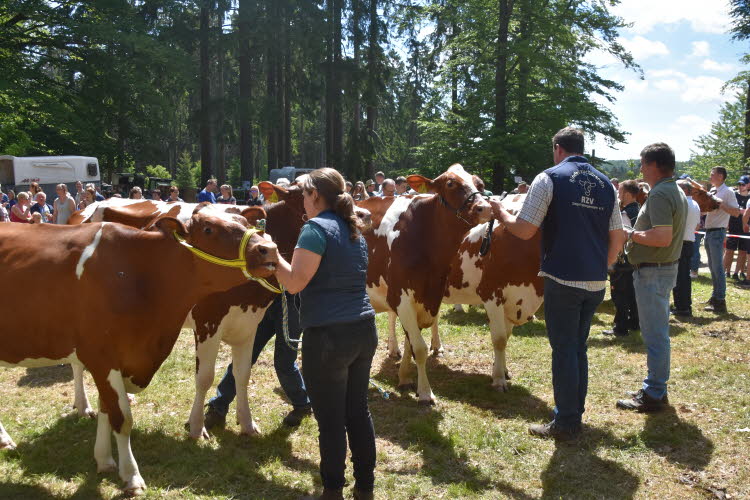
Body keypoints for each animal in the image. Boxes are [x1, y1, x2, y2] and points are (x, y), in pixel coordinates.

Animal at [0, 208, 280, 496]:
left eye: (246, 222)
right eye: (208, 229)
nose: (268, 249)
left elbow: (107, 408)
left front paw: (104, 460)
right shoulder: (103, 354)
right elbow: (122, 417)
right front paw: (132, 476)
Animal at [358, 165, 494, 406]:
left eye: (480, 184)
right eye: (450, 183)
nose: (485, 207)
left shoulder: (427, 295)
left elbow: (411, 342)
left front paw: (404, 377)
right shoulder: (401, 295)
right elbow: (419, 347)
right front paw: (424, 392)